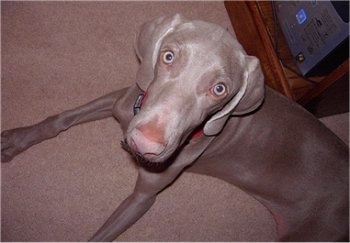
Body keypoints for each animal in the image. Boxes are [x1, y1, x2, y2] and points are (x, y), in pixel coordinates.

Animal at [1, 14, 348, 242]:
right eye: (168, 56)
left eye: (220, 89)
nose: (145, 144)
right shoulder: (122, 101)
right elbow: (60, 120)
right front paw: (16, 140)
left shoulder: (143, 198)